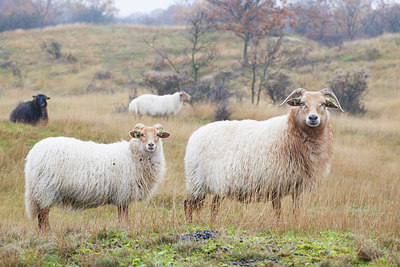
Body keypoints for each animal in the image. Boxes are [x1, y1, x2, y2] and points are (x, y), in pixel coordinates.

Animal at [23, 123, 170, 230]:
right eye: (141, 135)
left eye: (158, 135)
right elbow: (123, 215)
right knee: (43, 214)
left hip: (40, 190)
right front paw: (124, 227)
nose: (151, 145)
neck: (132, 156)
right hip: (46, 189)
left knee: (40, 214)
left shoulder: (122, 195)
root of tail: (33, 153)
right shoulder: (123, 193)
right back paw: (47, 231)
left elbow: (122, 214)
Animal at [184, 88, 344, 222]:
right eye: (302, 103)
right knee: (190, 204)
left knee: (208, 206)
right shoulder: (276, 182)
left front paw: (296, 222)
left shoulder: (296, 185)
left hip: (212, 184)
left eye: (323, 104)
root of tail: (195, 135)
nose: (313, 118)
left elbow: (296, 208)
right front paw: (278, 225)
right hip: (198, 181)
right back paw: (192, 223)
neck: (290, 131)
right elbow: (278, 210)